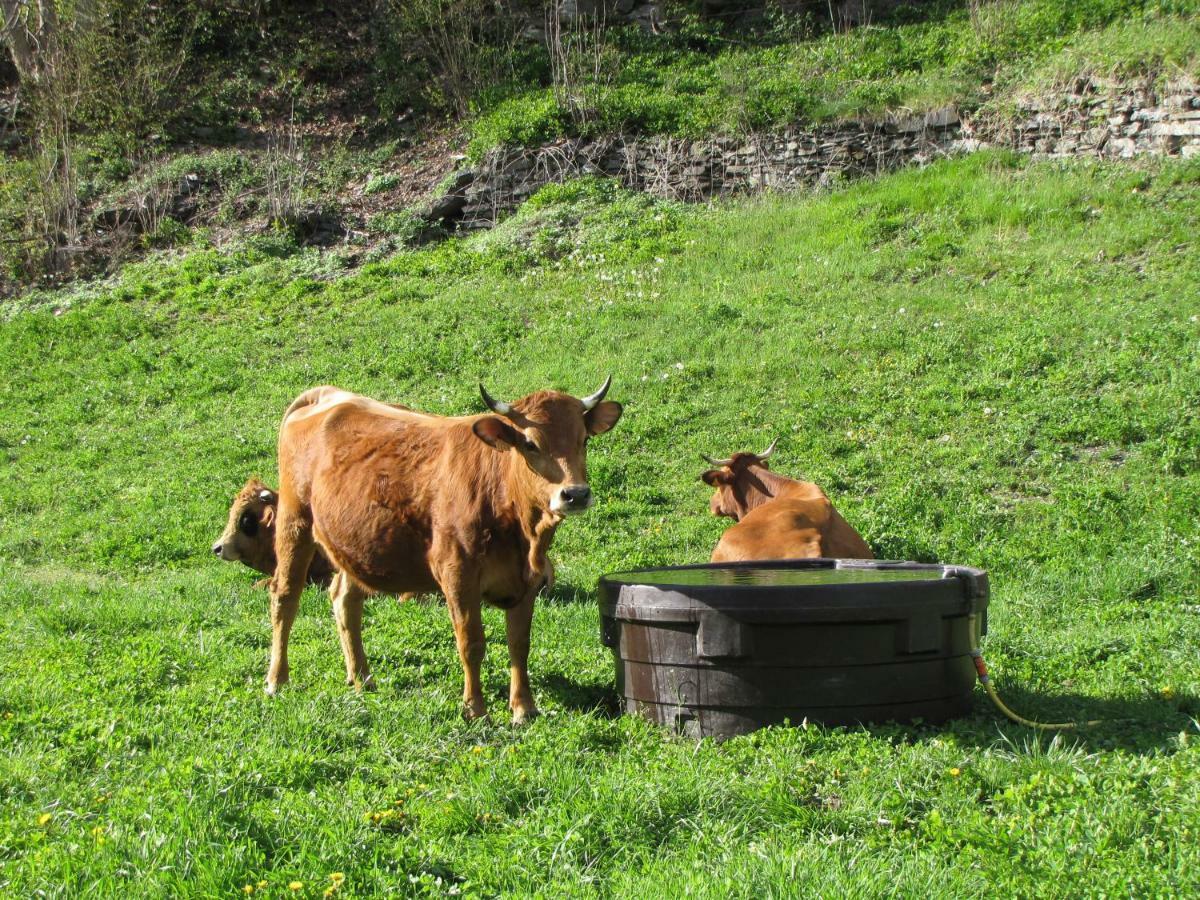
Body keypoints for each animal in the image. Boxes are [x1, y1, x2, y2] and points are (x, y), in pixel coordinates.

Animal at [268, 381, 624, 724]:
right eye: (530, 444)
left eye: (583, 440)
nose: (575, 494)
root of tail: (330, 395)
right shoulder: (458, 575)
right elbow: (471, 643)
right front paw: (476, 709)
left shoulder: (528, 581)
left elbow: (519, 645)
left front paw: (524, 708)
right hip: (294, 520)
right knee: (285, 598)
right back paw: (277, 680)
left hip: (356, 545)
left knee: (345, 601)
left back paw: (362, 678)